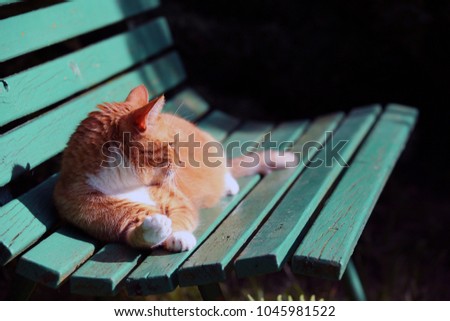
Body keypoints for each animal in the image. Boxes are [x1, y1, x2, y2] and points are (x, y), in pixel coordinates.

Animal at [53, 85, 296, 252]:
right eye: (170, 144)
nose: (181, 162)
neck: (125, 183)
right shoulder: (117, 224)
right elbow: (136, 236)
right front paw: (156, 227)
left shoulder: (180, 203)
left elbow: (181, 219)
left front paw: (178, 235)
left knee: (226, 169)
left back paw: (229, 184)